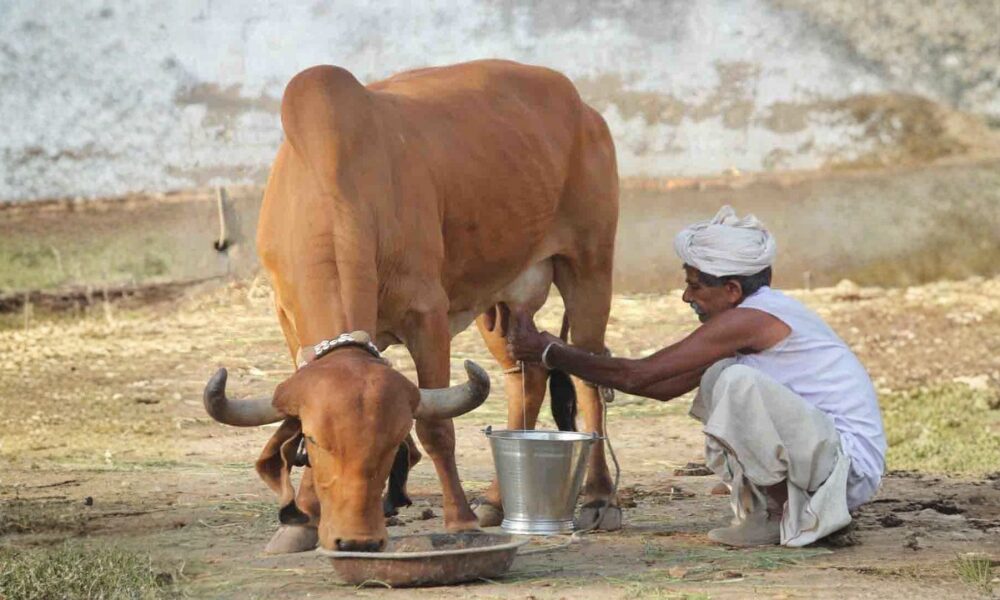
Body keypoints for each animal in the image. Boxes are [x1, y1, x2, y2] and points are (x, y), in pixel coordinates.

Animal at [203, 59, 620, 554]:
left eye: (389, 446)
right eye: (318, 442)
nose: (358, 539)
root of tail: (582, 107)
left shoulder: (428, 315)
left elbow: (437, 427)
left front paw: (460, 522)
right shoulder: (288, 317)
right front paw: (301, 520)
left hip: (589, 266)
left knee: (589, 376)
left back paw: (599, 498)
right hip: (496, 300)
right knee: (528, 376)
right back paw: (496, 500)